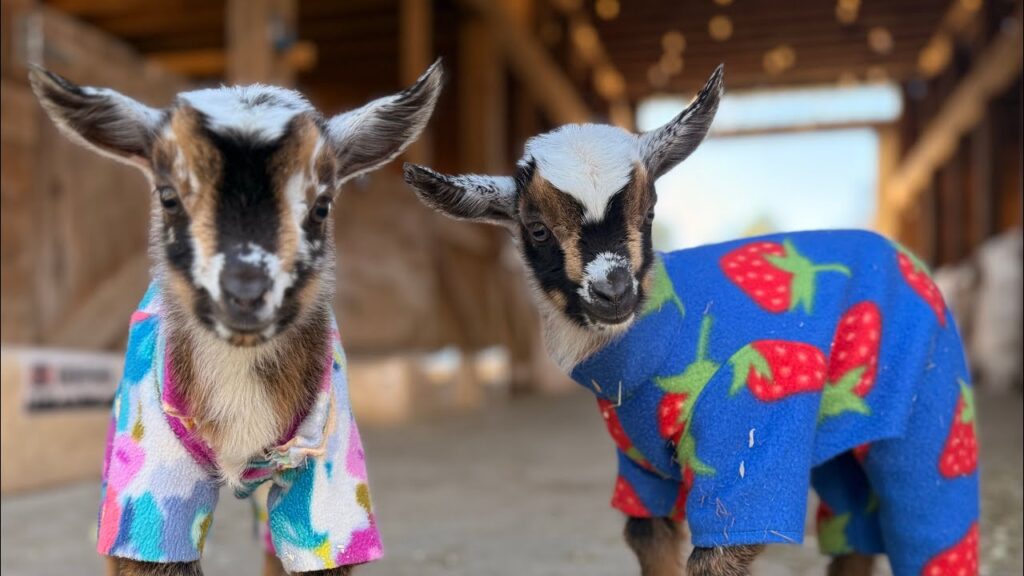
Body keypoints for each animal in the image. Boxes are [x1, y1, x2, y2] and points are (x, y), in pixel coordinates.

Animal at [403, 65, 980, 576]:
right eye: (537, 229)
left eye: (649, 213)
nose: (613, 290)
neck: (656, 346)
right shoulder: (640, 471)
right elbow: (648, 538)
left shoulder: (746, 442)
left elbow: (717, 555)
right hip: (838, 436)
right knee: (853, 532)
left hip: (934, 401)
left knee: (928, 517)